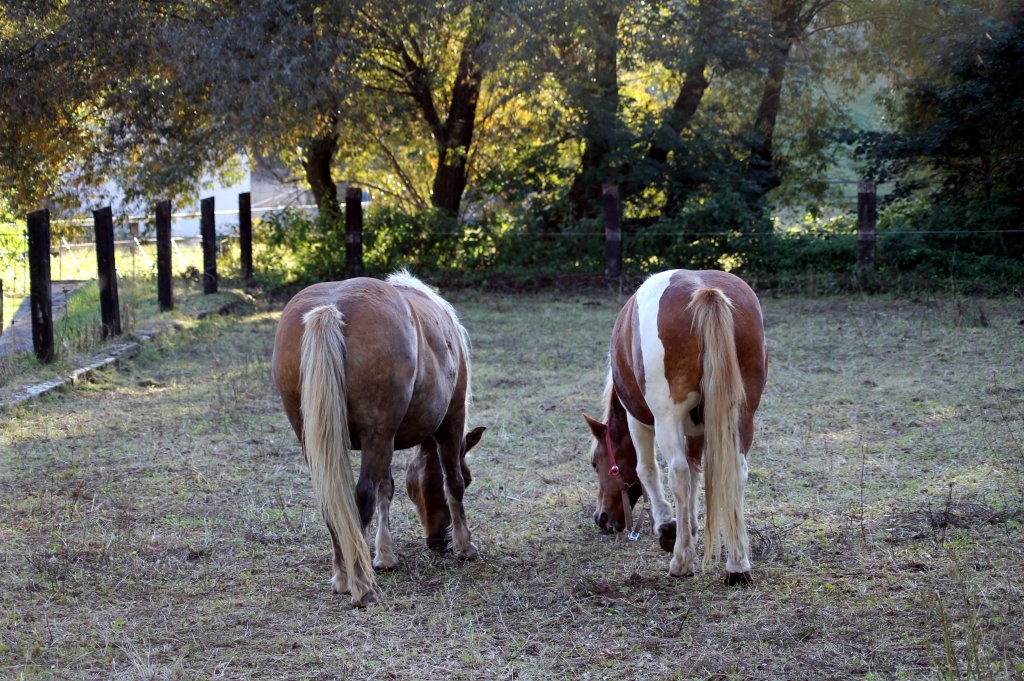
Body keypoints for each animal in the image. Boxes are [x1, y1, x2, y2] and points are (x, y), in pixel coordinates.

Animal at [270, 270, 481, 606]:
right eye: (472, 479)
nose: (437, 540)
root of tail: (331, 307)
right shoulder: (450, 420)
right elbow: (453, 483)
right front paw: (465, 546)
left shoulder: (388, 441)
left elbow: (387, 489)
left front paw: (384, 556)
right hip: (377, 435)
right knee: (362, 497)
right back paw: (360, 583)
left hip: (318, 439)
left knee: (335, 502)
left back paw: (342, 576)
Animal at [585, 270, 770, 585]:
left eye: (596, 463)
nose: (602, 519)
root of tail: (705, 291)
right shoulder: (697, 427)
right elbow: (696, 470)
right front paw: (691, 526)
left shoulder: (638, 420)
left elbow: (647, 470)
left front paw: (668, 527)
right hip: (742, 416)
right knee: (736, 472)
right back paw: (737, 566)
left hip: (666, 419)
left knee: (677, 473)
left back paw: (682, 561)